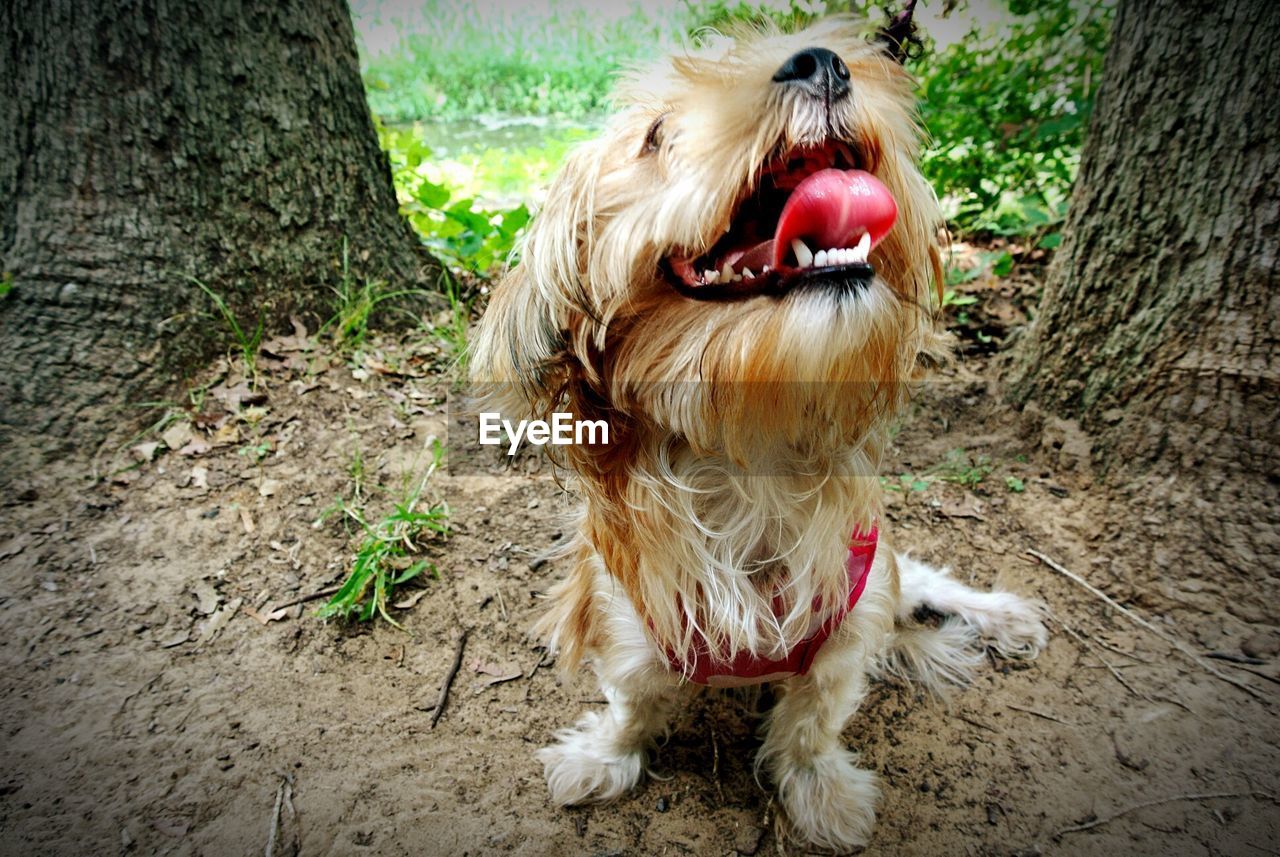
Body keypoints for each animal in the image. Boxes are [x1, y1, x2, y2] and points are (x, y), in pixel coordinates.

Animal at [465, 13, 1044, 854]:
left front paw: (821, 792)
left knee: (928, 582)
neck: (750, 454)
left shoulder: (845, 630)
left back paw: (1000, 614)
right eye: (656, 135)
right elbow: (631, 708)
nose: (824, 63)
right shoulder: (632, 632)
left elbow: (811, 725)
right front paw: (602, 758)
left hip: (886, 572)